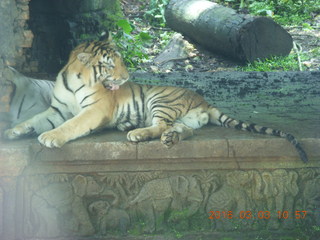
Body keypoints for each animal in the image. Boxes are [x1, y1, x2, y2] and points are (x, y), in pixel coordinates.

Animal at [2, 32, 308, 163]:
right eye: (110, 65)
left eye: (120, 61)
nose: (126, 77)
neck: (76, 79)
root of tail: (204, 101)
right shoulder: (58, 109)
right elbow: (36, 119)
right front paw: (14, 131)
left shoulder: (93, 111)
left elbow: (71, 126)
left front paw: (50, 138)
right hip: (185, 119)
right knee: (183, 130)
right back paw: (170, 138)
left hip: (159, 101)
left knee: (161, 125)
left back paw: (137, 133)